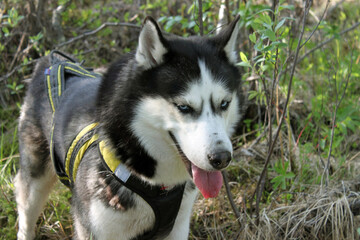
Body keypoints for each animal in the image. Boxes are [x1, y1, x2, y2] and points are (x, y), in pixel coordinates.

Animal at [15, 15, 243, 239]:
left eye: (224, 103)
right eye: (184, 107)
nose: (221, 158)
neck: (157, 183)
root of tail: (51, 62)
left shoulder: (178, 225)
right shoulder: (93, 230)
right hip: (35, 184)